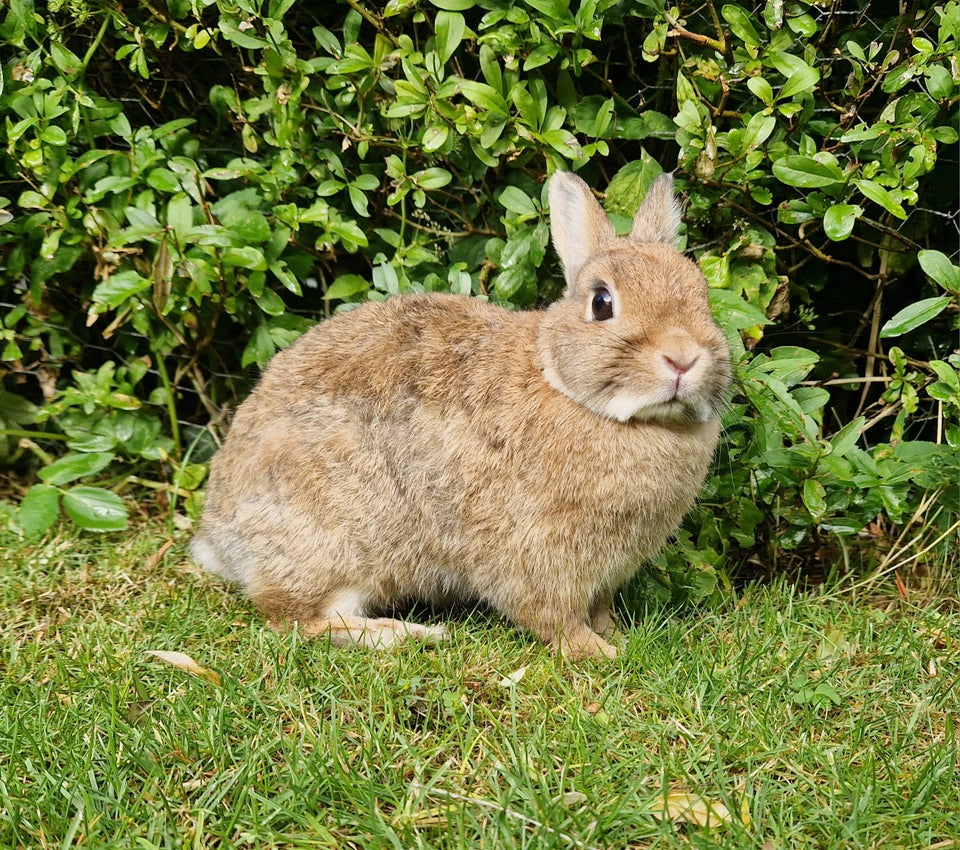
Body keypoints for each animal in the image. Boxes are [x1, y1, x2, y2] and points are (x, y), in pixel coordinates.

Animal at [195, 172, 736, 660]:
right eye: (602, 303)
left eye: (702, 293)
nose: (683, 357)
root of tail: (218, 536)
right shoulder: (534, 559)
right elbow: (554, 618)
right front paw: (599, 652)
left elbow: (598, 608)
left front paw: (614, 635)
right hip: (335, 542)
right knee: (297, 618)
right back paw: (408, 634)